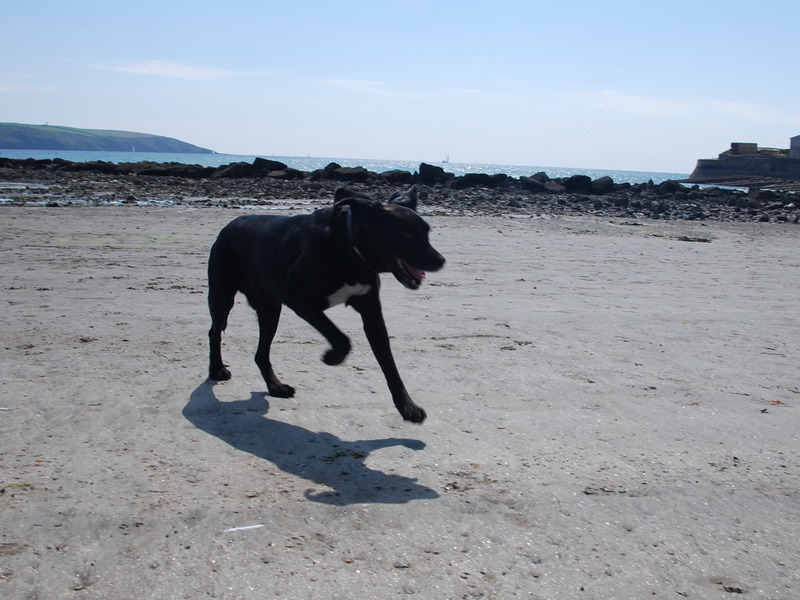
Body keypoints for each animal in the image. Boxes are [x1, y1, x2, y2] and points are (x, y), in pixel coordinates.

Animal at [206, 185, 444, 424]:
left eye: (427, 233)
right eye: (407, 235)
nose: (440, 260)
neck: (350, 249)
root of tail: (229, 226)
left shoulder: (371, 312)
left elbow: (389, 364)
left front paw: (407, 407)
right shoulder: (299, 300)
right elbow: (342, 338)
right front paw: (331, 357)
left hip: (270, 309)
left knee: (261, 353)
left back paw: (276, 386)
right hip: (222, 295)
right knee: (215, 331)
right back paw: (217, 369)